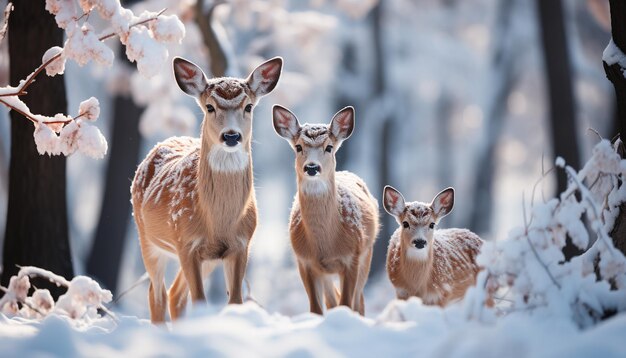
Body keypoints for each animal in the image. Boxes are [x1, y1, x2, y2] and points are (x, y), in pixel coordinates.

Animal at [132, 55, 282, 322]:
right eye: (210, 107)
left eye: (248, 107)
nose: (231, 136)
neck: (219, 222)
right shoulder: (186, 242)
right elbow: (199, 299)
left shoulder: (240, 245)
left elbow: (235, 301)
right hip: (146, 238)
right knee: (157, 294)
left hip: (207, 259)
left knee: (174, 294)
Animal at [272, 105, 378, 314]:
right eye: (299, 147)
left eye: (329, 147)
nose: (312, 167)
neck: (326, 245)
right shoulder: (305, 262)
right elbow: (316, 308)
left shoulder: (352, 258)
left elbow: (347, 303)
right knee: (332, 301)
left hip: (367, 253)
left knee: (358, 302)